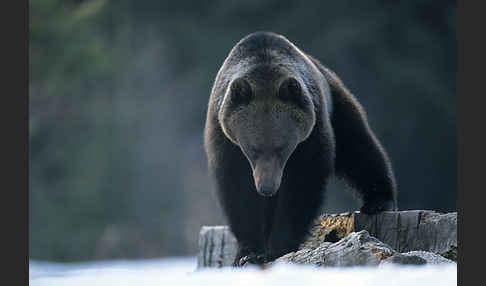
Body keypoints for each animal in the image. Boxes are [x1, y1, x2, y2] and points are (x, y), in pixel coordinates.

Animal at [203, 31, 396, 266]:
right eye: (253, 149)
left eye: (282, 148)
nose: (267, 187)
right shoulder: (225, 138)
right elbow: (238, 190)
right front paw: (249, 253)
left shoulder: (310, 135)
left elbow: (301, 187)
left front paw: (278, 248)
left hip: (337, 103)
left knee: (359, 147)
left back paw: (378, 200)